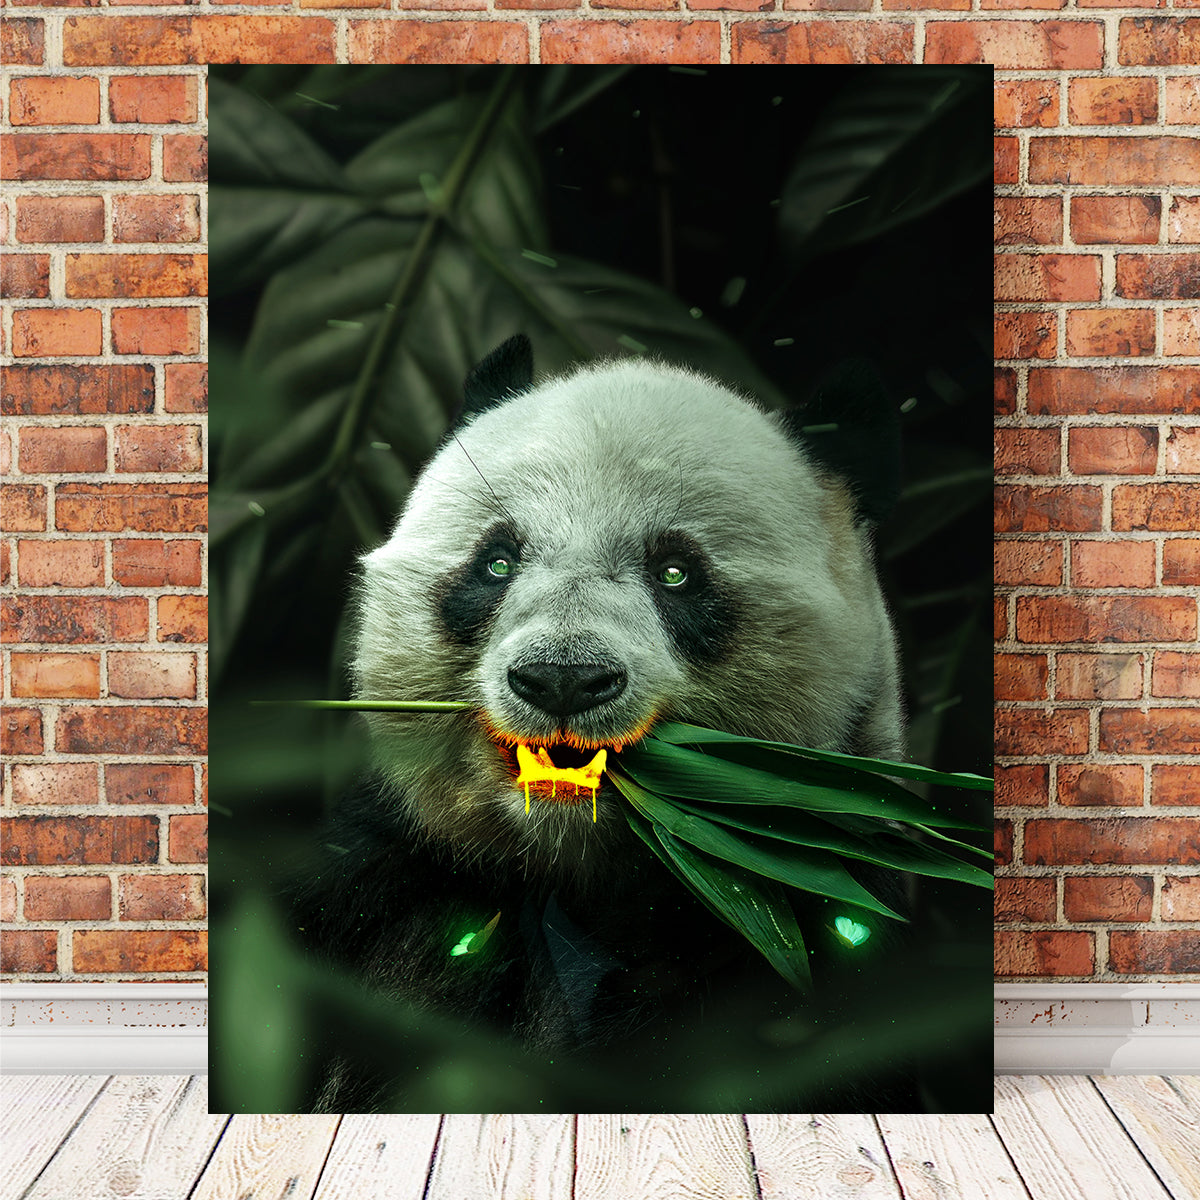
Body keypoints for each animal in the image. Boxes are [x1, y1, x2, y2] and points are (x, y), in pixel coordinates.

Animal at [293, 334, 906, 1111]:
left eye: (676, 573)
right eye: (497, 561)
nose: (562, 679)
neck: (577, 869)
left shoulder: (806, 922)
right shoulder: (388, 873)